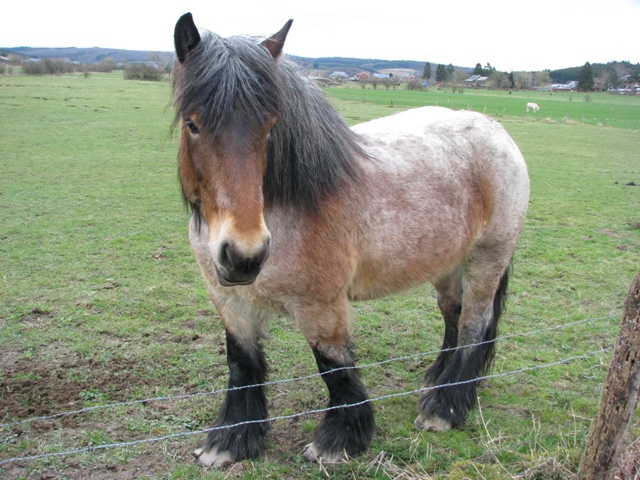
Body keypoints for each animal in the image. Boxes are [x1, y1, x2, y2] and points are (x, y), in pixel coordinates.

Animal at [170, 13, 528, 466]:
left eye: (271, 127)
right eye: (193, 124)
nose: (244, 255)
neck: (289, 204)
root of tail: (497, 132)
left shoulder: (321, 306)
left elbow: (333, 367)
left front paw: (338, 440)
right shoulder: (230, 303)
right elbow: (242, 365)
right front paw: (230, 440)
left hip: (487, 259)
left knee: (473, 325)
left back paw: (445, 407)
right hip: (448, 265)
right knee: (453, 315)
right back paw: (436, 380)